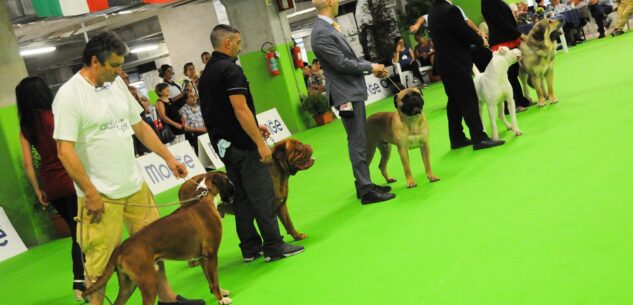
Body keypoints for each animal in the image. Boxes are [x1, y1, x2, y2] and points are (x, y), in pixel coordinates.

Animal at [81, 171, 235, 304]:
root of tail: (122, 246)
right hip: (149, 282)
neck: (203, 199)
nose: (234, 185)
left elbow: (211, 279)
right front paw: (221, 299)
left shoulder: (202, 257)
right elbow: (215, 279)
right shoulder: (211, 255)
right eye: (227, 179)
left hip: (128, 285)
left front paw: (219, 293)